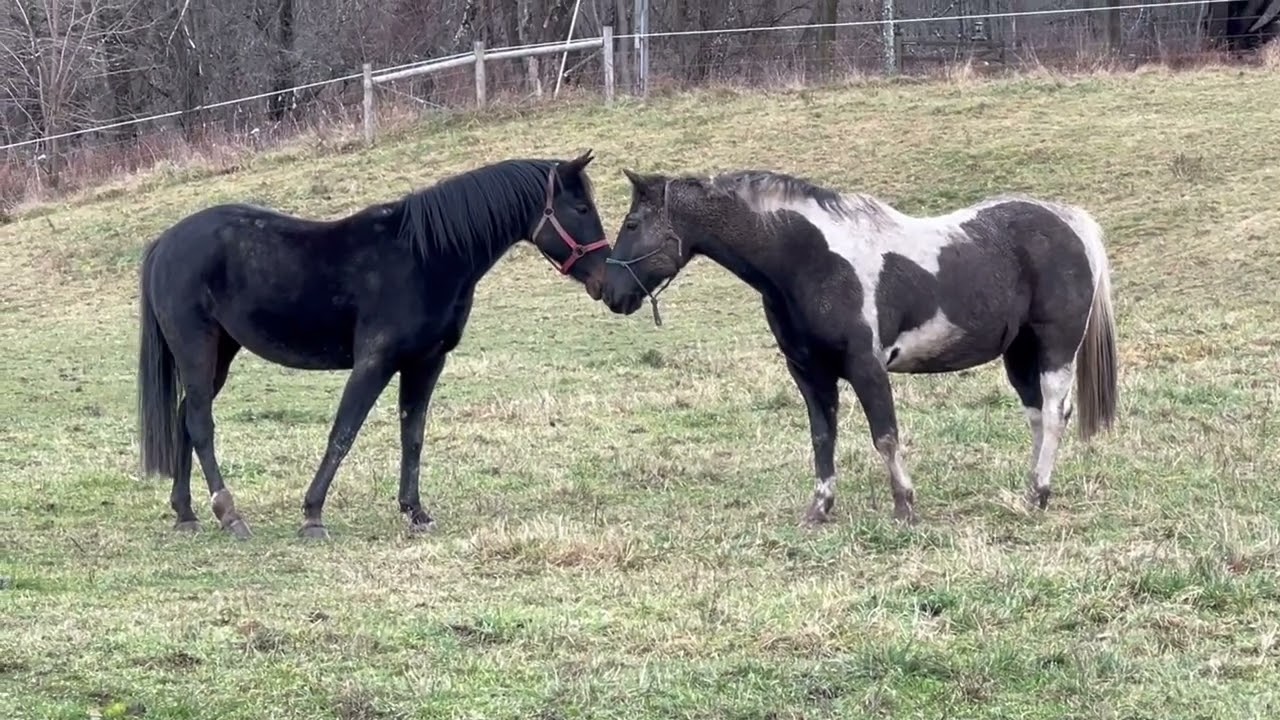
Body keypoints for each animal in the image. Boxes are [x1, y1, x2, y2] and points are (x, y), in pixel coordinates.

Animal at [136, 151, 611, 540]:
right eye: (581, 208)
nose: (606, 280)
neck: (426, 256)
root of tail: (164, 243)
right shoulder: (375, 362)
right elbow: (343, 433)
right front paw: (313, 515)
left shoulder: (425, 363)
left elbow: (412, 436)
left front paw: (415, 511)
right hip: (196, 349)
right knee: (200, 423)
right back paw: (229, 513)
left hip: (220, 353)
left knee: (185, 417)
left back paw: (186, 513)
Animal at [601, 168, 1117, 525]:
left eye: (632, 224)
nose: (608, 292)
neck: (811, 260)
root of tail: (1070, 222)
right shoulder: (808, 373)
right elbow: (822, 437)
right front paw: (819, 509)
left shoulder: (867, 367)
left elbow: (885, 436)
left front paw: (905, 507)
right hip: (1018, 354)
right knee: (1036, 416)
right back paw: (1030, 491)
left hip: (1054, 347)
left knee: (1054, 413)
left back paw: (1040, 492)